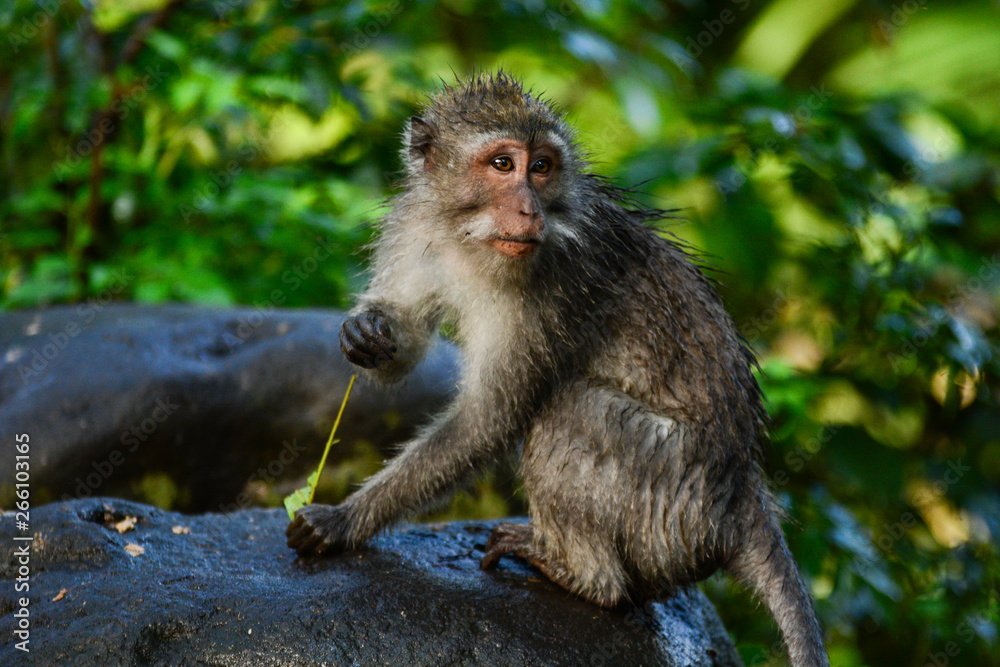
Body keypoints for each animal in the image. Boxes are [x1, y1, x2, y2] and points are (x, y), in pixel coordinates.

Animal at [286, 72, 829, 667]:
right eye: (503, 164)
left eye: (542, 167)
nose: (529, 210)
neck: (466, 239)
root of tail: (744, 495)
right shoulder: (413, 228)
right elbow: (402, 346)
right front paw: (367, 331)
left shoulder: (550, 289)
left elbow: (490, 418)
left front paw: (343, 522)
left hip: (674, 499)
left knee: (574, 410)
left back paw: (582, 576)